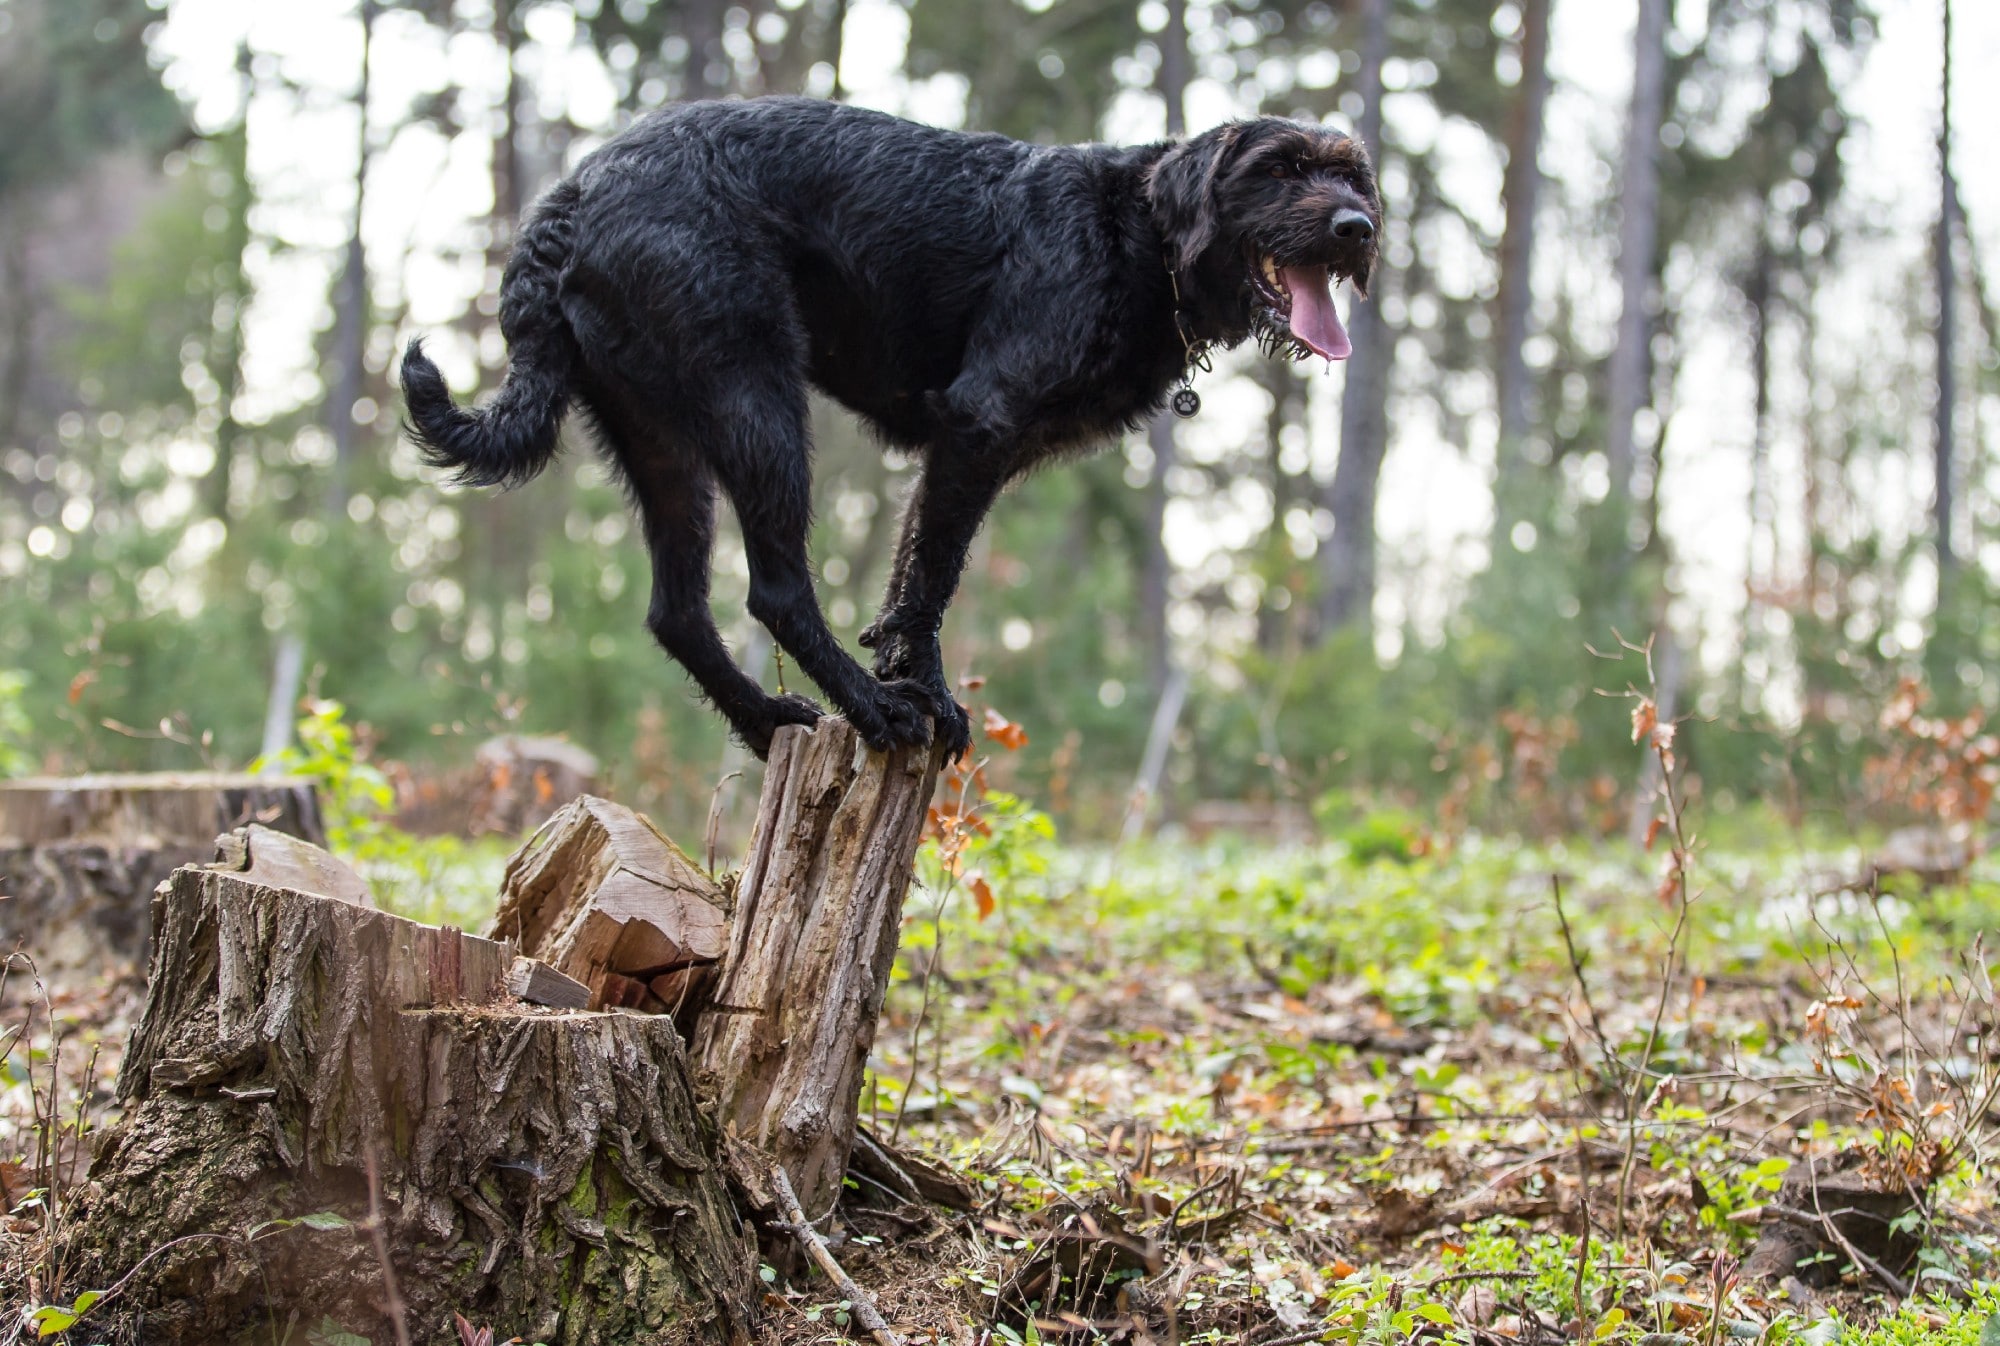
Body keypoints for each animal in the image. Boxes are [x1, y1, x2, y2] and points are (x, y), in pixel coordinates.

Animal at [404, 97, 1376, 756]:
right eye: (1278, 170)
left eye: (1352, 174)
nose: (1359, 227)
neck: (1133, 232)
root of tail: (571, 192)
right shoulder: (978, 423)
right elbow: (932, 584)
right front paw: (920, 695)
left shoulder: (964, 450)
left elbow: (911, 574)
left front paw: (906, 676)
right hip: (758, 407)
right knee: (775, 591)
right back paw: (868, 712)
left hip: (665, 444)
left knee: (675, 611)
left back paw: (767, 721)